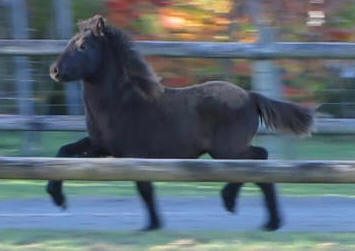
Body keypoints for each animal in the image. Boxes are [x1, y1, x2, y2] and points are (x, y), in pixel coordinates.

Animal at [48, 15, 314, 231]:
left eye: (83, 46)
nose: (55, 71)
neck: (121, 102)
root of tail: (250, 96)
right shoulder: (100, 146)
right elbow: (63, 153)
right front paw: (56, 196)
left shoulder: (134, 153)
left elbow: (144, 187)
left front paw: (153, 226)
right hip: (229, 150)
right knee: (258, 165)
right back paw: (269, 222)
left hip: (228, 149)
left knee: (258, 161)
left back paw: (234, 202)